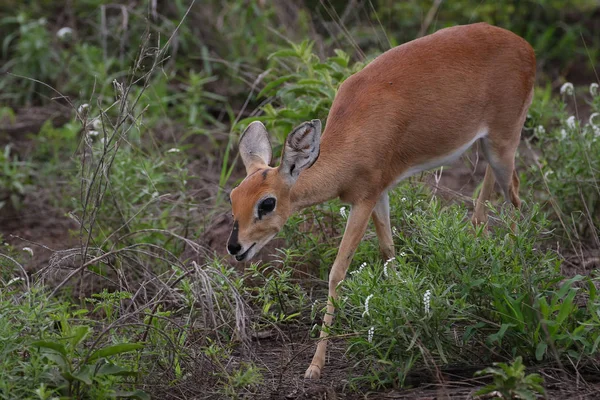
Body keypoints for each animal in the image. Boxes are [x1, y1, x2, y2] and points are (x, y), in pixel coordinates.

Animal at [227, 23, 536, 380]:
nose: (235, 247)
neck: (352, 141)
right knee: (491, 197)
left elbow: (337, 272)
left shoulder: (364, 199)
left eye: (267, 203)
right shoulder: (381, 193)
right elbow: (389, 251)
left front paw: (315, 366)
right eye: (233, 197)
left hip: (504, 140)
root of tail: (524, 46)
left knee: (515, 195)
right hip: (487, 144)